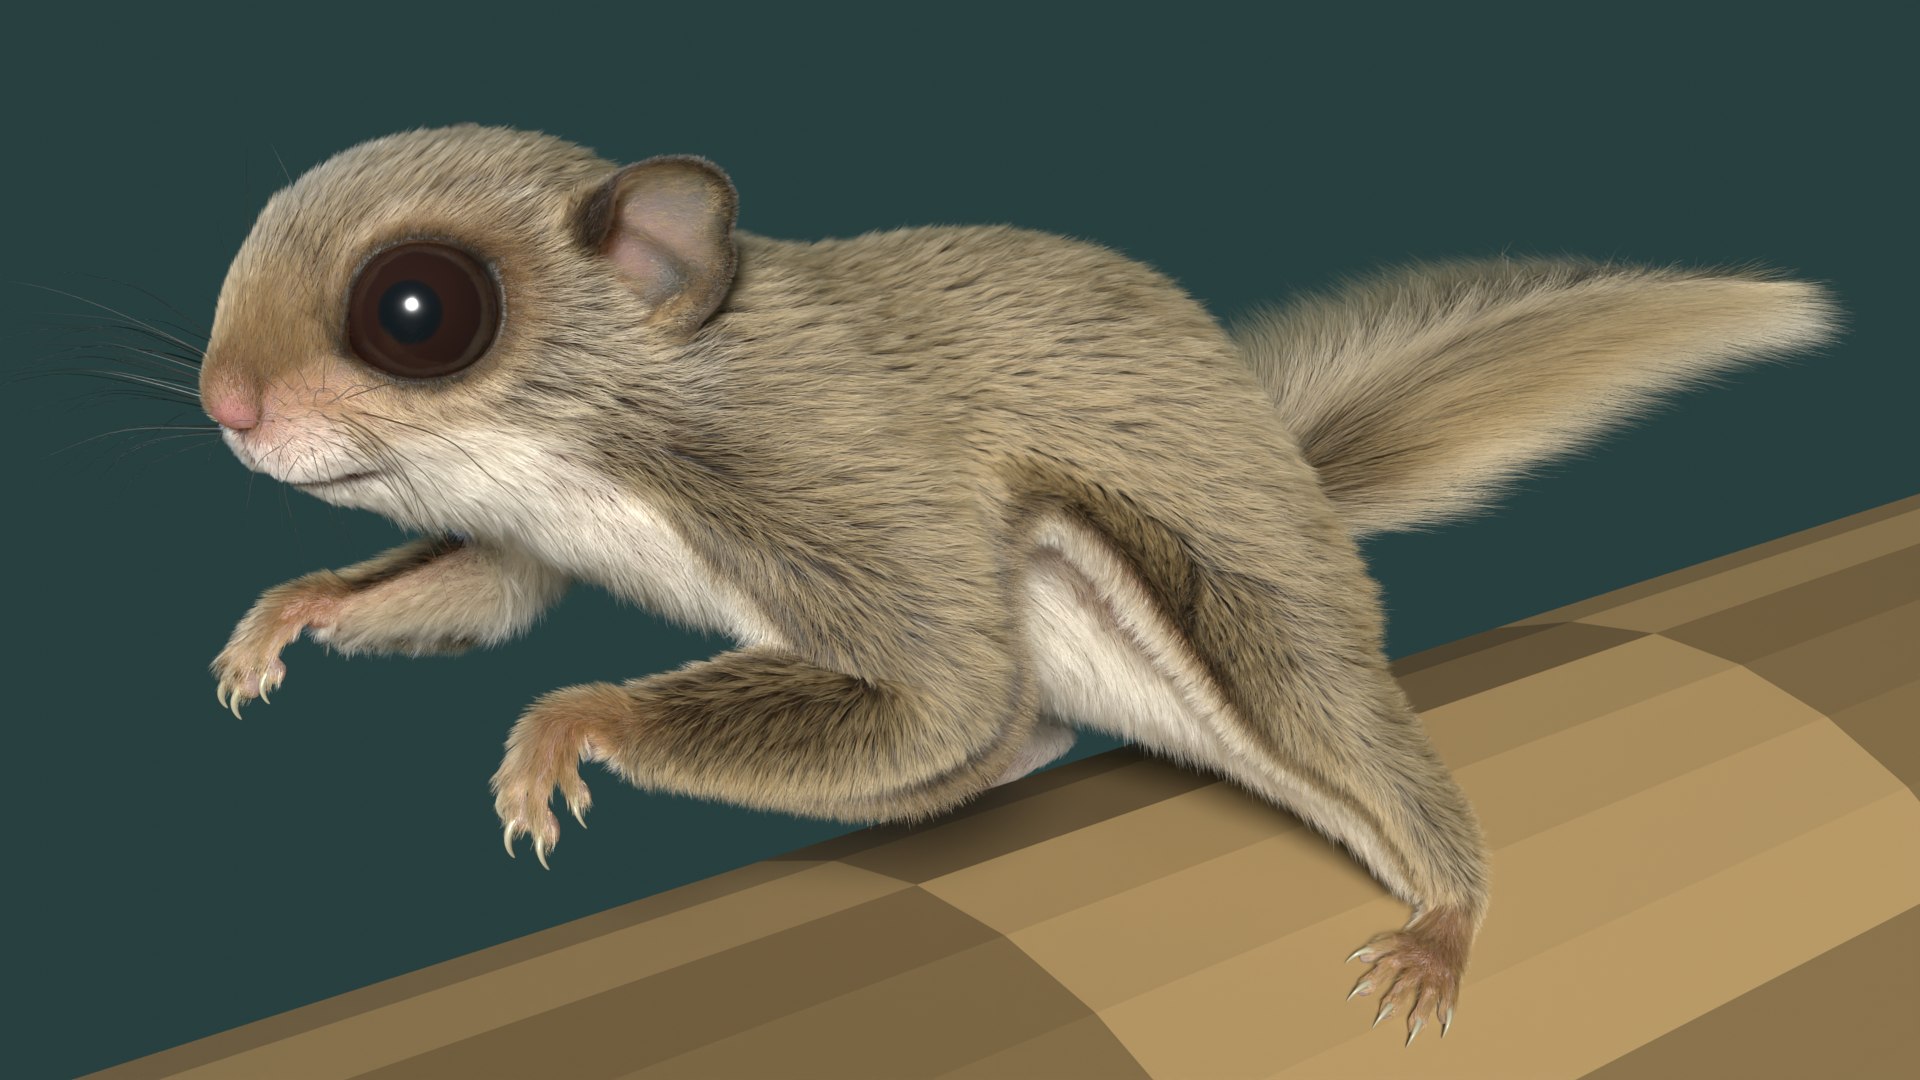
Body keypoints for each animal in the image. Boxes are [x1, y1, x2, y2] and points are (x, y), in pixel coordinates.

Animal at [196, 124, 1838, 1044]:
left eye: (420, 310)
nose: (225, 406)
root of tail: (1289, 473)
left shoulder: (850, 487)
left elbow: (936, 679)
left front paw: (569, 725)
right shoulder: (522, 535)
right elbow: (482, 590)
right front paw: (291, 615)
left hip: (1241, 613)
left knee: (1330, 741)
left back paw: (1445, 919)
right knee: (1017, 737)